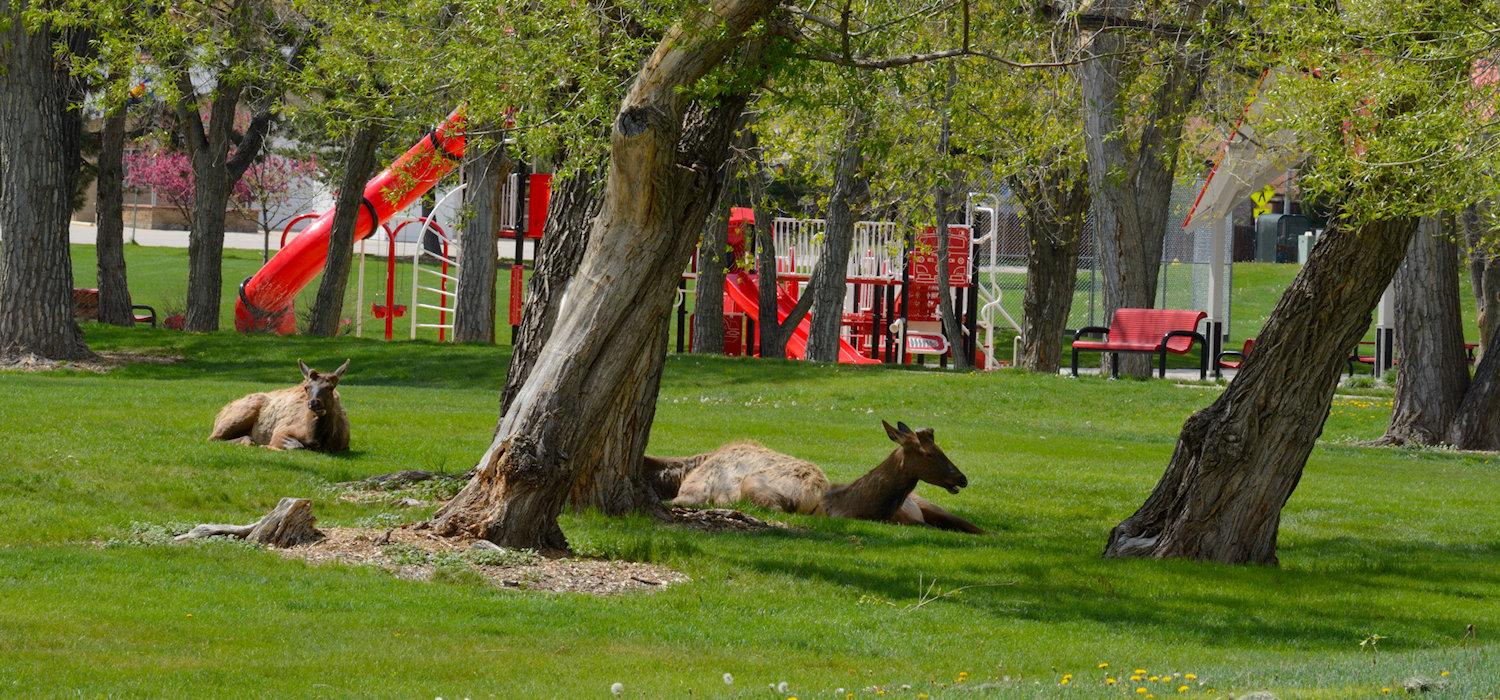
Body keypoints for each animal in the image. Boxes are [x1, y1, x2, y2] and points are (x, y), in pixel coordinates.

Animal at [210, 358, 352, 452]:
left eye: (330, 387)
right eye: (306, 387)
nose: (314, 402)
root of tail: (219, 414)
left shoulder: (345, 445)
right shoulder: (281, 431)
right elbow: (297, 446)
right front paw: (265, 445)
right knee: (213, 438)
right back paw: (249, 441)